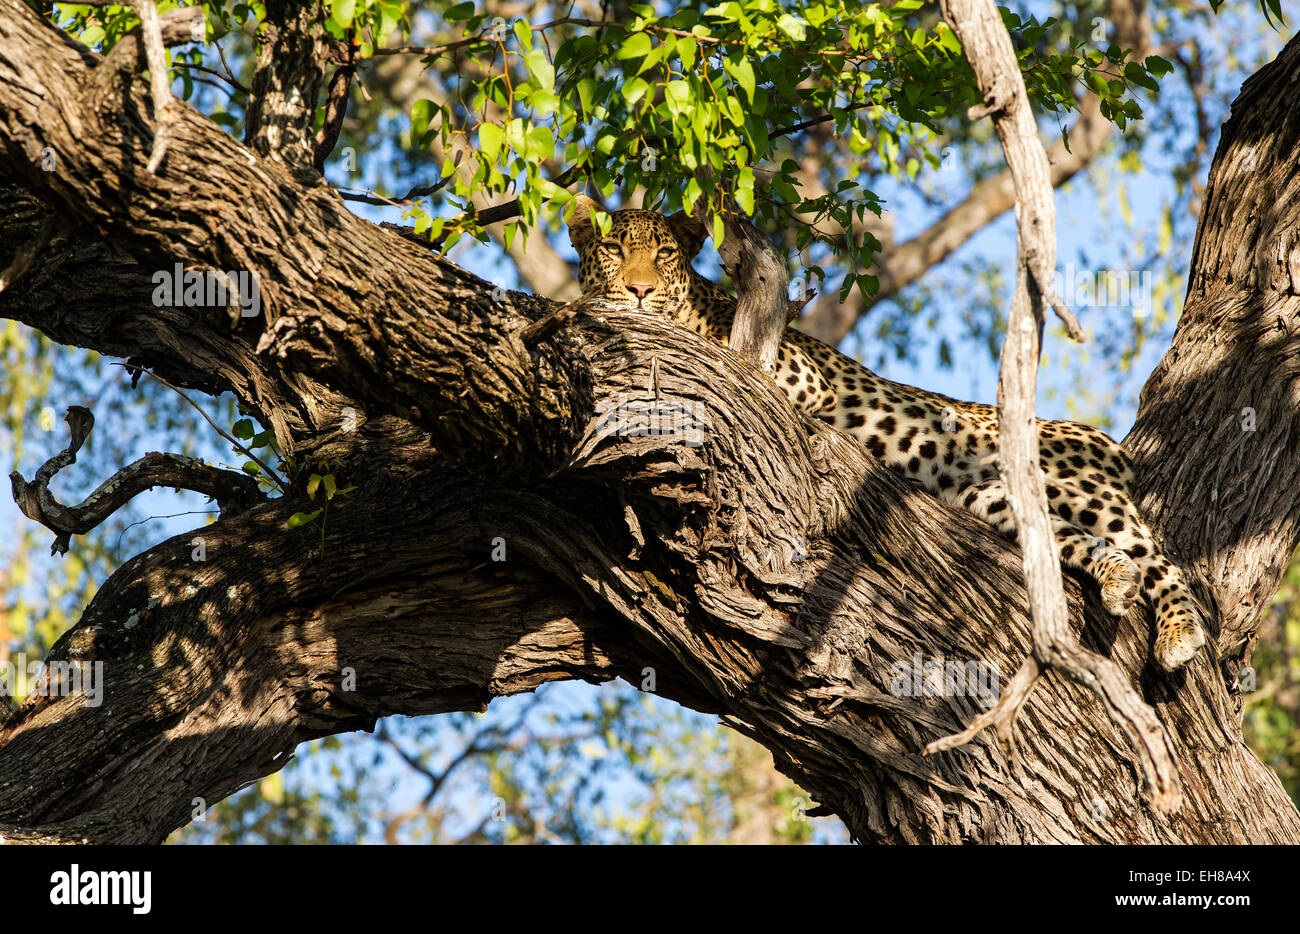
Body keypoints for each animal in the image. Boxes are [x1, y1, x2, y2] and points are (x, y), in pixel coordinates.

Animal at [566, 195, 1207, 672]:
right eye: (614, 250)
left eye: (664, 254)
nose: (640, 290)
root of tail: (1108, 444)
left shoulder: (802, 374)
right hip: (988, 495)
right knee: (1074, 543)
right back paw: (1116, 578)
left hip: (1070, 478)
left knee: (1158, 554)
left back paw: (1180, 634)